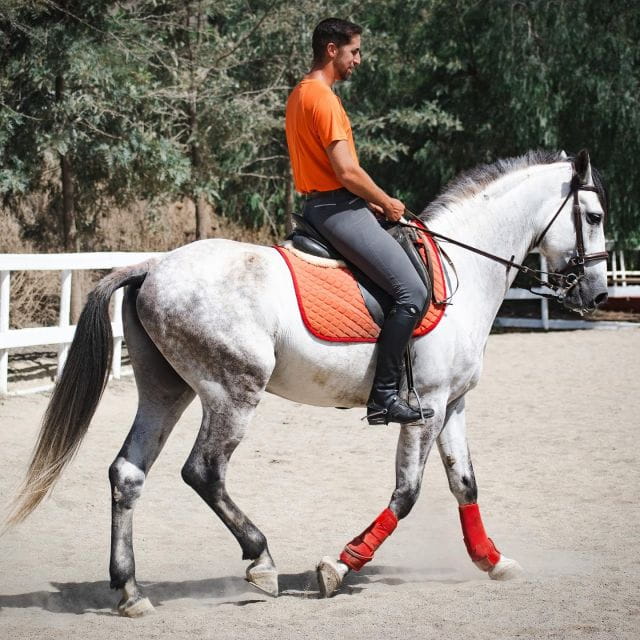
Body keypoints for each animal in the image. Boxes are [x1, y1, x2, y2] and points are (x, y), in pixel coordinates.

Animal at [8, 149, 608, 616]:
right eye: (596, 215)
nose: (599, 294)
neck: (463, 269)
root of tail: (151, 266)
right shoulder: (428, 407)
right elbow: (407, 494)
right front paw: (339, 566)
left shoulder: (454, 405)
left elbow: (466, 485)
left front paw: (492, 560)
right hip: (233, 393)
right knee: (204, 471)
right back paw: (261, 561)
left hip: (166, 391)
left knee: (128, 473)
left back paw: (131, 591)